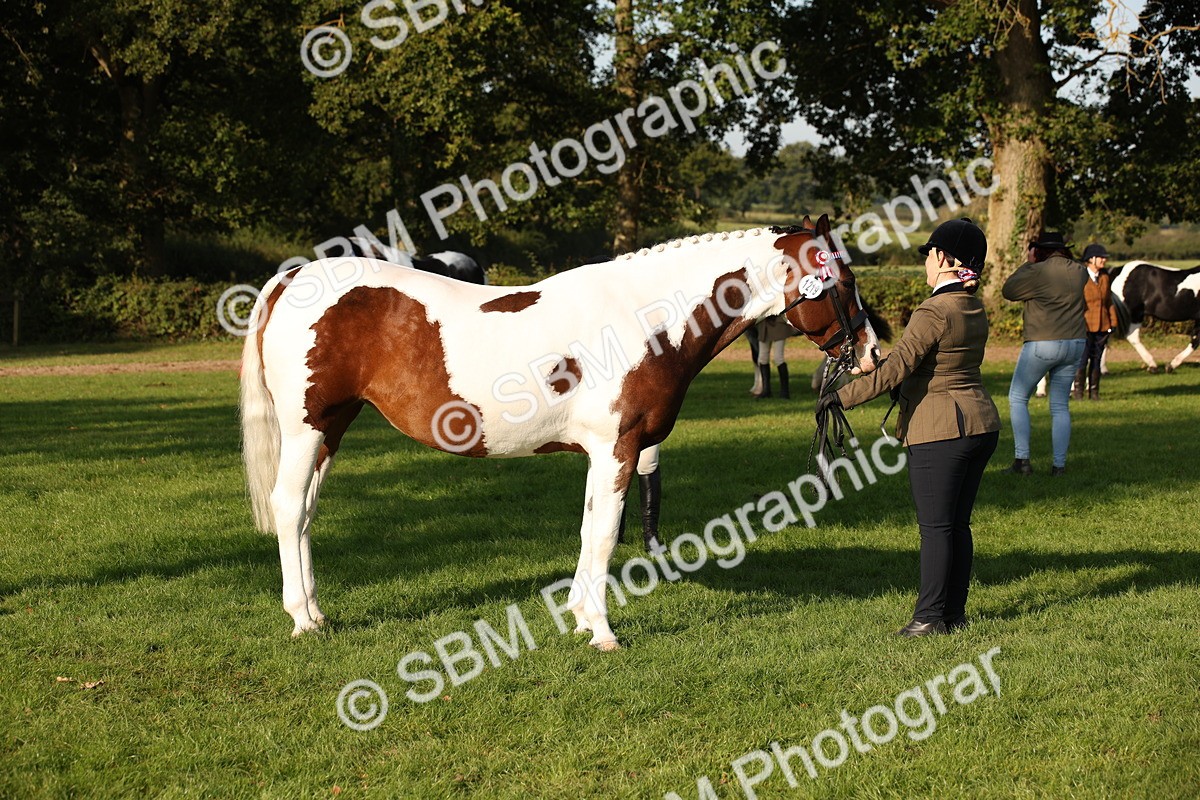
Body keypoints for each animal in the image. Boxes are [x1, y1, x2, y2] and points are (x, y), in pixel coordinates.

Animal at [239, 214, 880, 649]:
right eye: (844, 281)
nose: (872, 353)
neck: (644, 318)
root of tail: (291, 277)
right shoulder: (620, 448)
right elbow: (605, 534)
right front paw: (603, 631)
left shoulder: (602, 452)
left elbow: (589, 526)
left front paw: (577, 616)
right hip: (305, 428)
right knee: (289, 506)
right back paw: (301, 619)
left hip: (333, 428)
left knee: (305, 512)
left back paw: (317, 612)